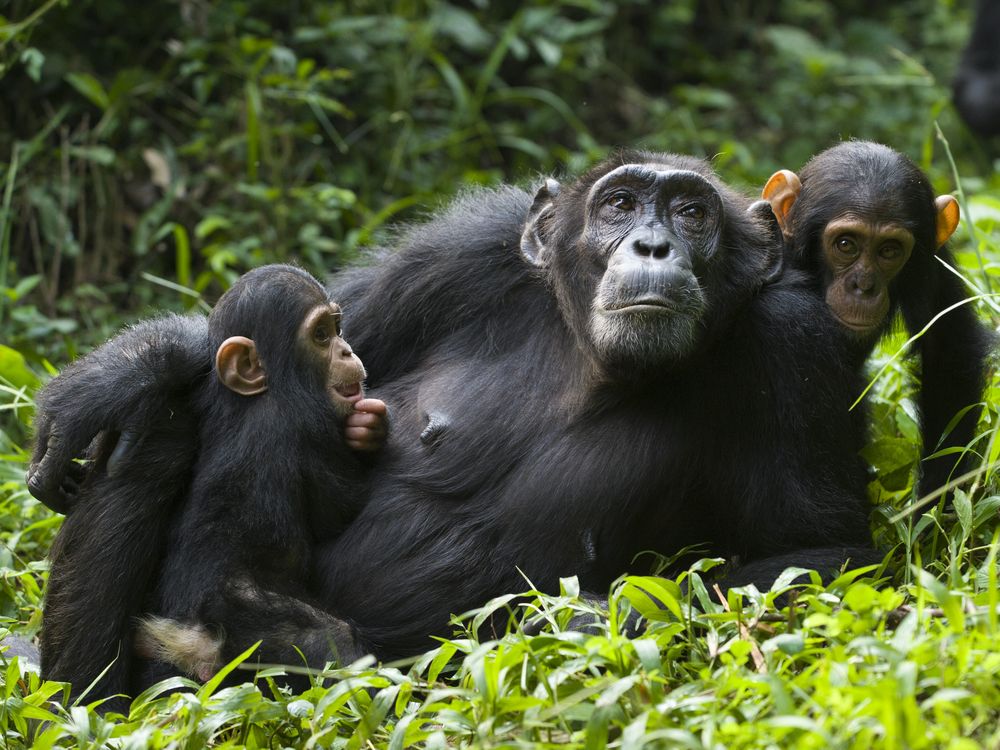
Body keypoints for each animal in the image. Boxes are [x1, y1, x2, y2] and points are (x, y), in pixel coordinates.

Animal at [27, 151, 880, 664]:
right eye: (620, 204)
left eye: (693, 214)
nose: (651, 246)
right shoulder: (459, 254)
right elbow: (326, 322)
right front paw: (121, 370)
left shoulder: (797, 344)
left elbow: (826, 550)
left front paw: (566, 620)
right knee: (153, 434)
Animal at [42, 266, 378, 712]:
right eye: (322, 335)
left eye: (337, 329)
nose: (346, 350)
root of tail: (188, 638)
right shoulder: (307, 432)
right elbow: (339, 506)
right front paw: (370, 432)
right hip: (246, 625)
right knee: (330, 640)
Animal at [764, 142, 992, 500]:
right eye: (846, 244)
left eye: (889, 250)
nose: (864, 286)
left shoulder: (932, 259)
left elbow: (947, 351)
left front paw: (934, 502)